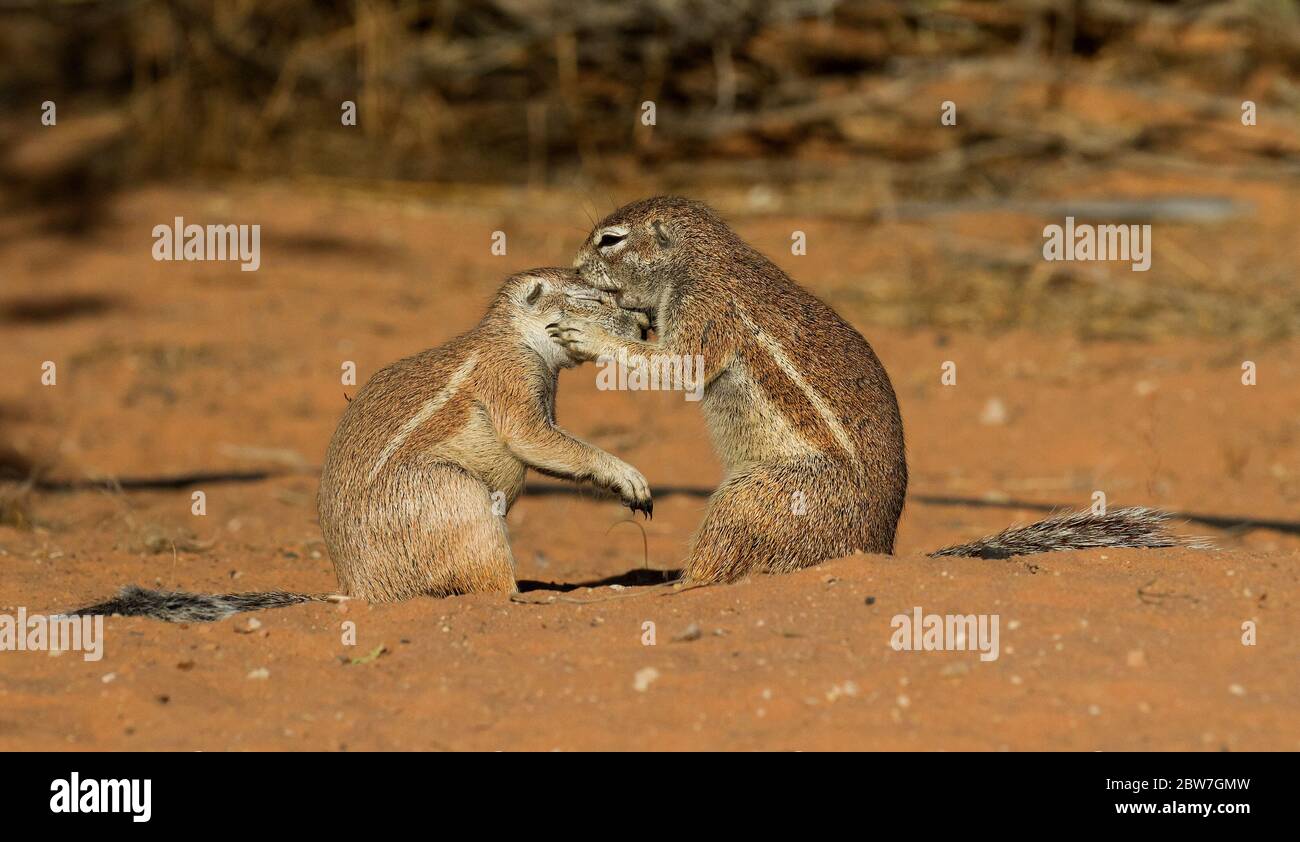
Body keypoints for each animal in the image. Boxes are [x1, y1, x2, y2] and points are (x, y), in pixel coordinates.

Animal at [68, 266, 650, 621]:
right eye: (594, 297)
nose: (643, 326)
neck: (511, 334)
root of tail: (359, 591)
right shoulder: (510, 378)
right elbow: (534, 440)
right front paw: (627, 477)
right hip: (453, 496)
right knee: (484, 582)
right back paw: (526, 597)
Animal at [553, 196, 1190, 584]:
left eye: (610, 240)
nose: (575, 267)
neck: (700, 259)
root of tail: (873, 548)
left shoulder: (708, 314)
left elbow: (674, 367)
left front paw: (586, 331)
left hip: (757, 497)